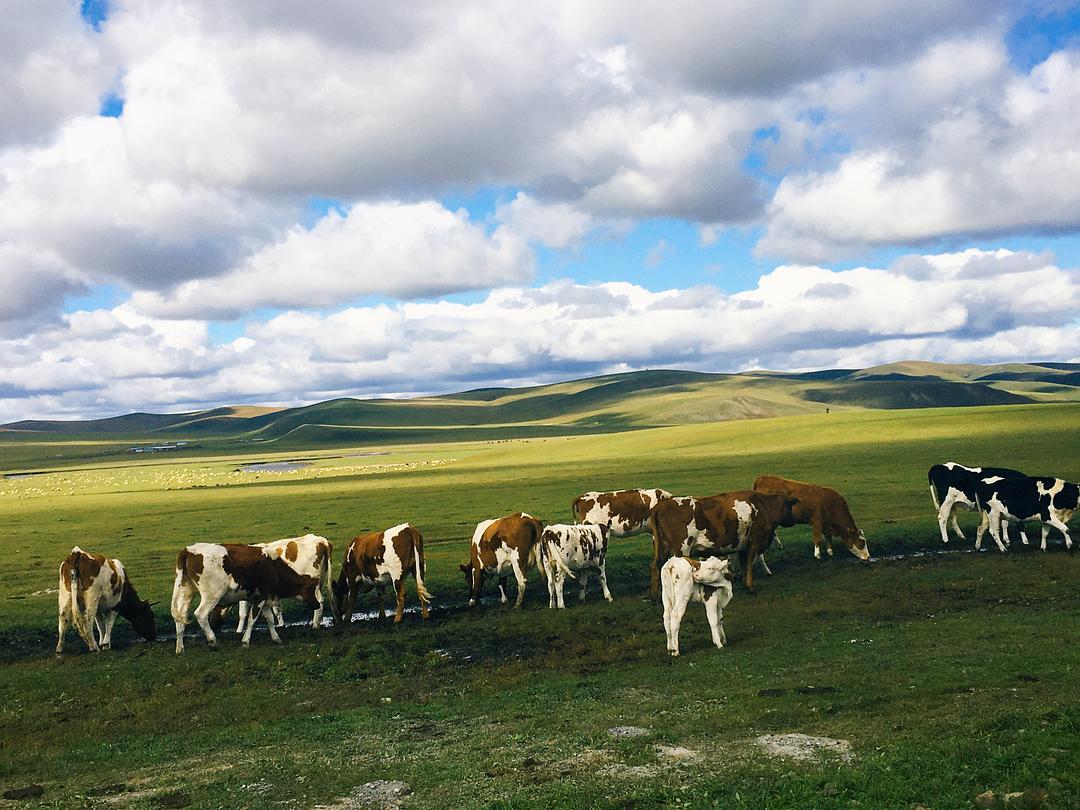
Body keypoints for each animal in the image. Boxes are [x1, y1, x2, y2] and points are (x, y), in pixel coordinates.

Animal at [170, 542, 321, 656]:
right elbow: (252, 619)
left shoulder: (265, 599)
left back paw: (180, 648)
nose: (317, 605)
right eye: (310, 588)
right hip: (212, 595)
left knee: (180, 617)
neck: (274, 568)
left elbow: (270, 619)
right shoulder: (260, 597)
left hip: (186, 592)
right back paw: (212, 641)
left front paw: (276, 638)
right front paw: (245, 641)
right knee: (200, 614)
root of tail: (188, 550)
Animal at [643, 488, 799, 596]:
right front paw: (750, 586)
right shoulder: (754, 541)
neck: (763, 506)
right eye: (790, 506)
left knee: (656, 566)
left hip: (663, 548)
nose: (792, 520)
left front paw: (744, 583)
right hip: (681, 549)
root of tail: (660, 506)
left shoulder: (743, 545)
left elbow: (744, 564)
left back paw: (655, 596)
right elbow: (749, 563)